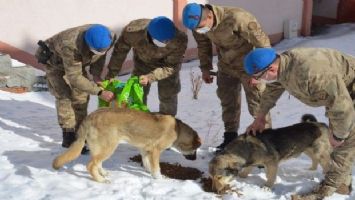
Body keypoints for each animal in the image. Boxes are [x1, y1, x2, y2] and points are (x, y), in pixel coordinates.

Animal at [53, 108, 203, 183]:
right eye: (195, 150)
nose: (196, 159)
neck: (178, 129)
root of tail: (90, 117)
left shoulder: (145, 149)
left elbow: (147, 163)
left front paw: (149, 172)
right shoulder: (155, 151)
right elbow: (157, 168)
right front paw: (159, 178)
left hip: (102, 148)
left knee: (97, 162)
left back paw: (103, 174)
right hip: (109, 147)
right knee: (91, 165)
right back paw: (100, 180)